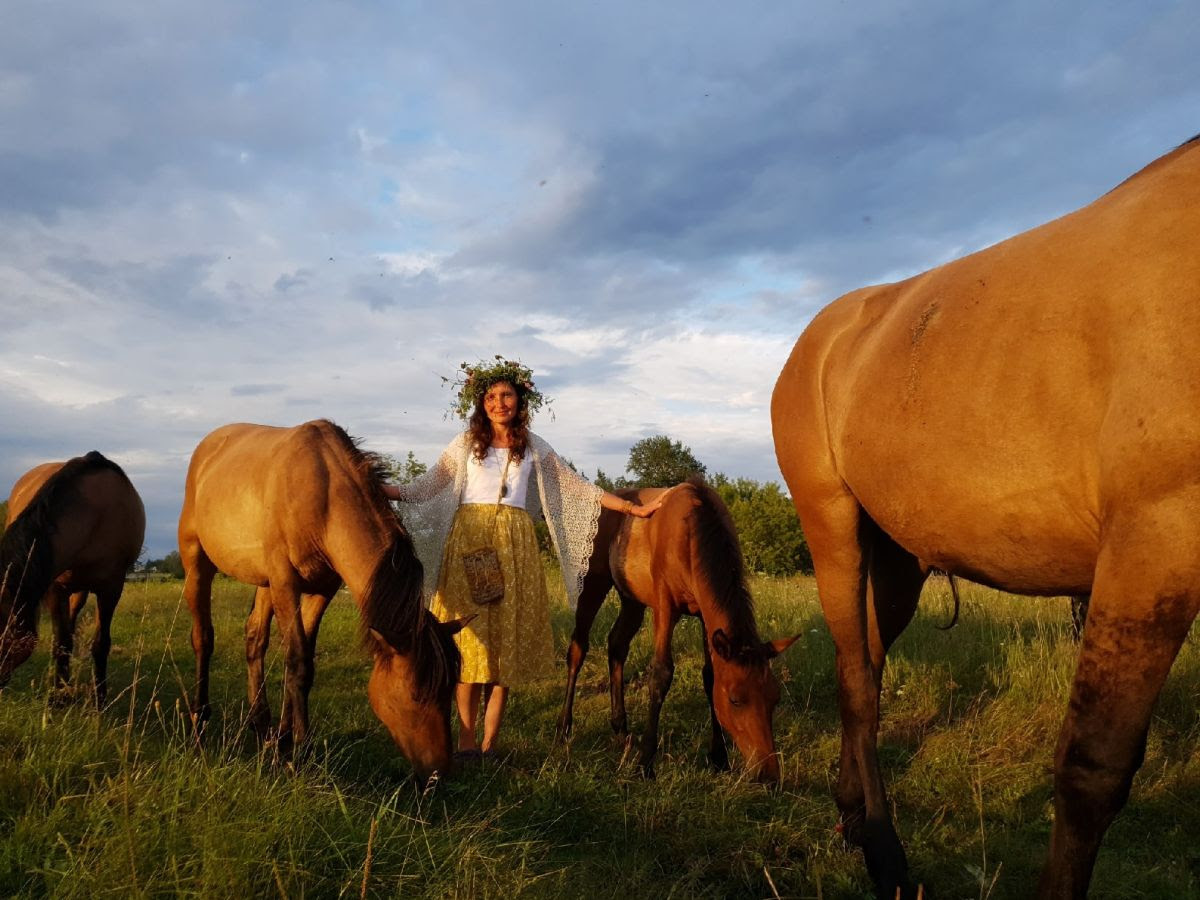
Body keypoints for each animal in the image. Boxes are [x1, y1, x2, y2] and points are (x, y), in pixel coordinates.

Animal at [0, 453, 144, 710]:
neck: (96, 518)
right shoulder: (56, 589)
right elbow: (62, 643)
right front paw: (59, 696)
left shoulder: (111, 589)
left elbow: (100, 644)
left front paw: (100, 699)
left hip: (82, 590)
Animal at [177, 422, 463, 782]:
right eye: (415, 694)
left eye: (450, 689)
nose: (440, 774)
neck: (324, 495)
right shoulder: (286, 582)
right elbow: (298, 660)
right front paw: (302, 754)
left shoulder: (321, 589)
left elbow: (300, 662)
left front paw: (284, 743)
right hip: (197, 562)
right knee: (203, 637)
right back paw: (199, 724)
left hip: (264, 582)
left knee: (255, 638)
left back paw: (262, 729)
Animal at [556, 480, 801, 782]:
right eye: (735, 700)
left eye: (775, 697)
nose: (768, 774)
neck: (692, 532)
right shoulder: (665, 607)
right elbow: (661, 673)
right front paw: (646, 762)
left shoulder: (706, 617)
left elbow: (710, 676)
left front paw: (719, 757)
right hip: (593, 585)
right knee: (578, 650)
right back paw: (564, 728)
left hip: (632, 600)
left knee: (617, 645)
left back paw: (621, 730)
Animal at [768, 135, 1200, 900]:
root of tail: (821, 338)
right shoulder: (1156, 541)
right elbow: (1092, 769)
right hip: (833, 529)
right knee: (858, 684)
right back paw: (885, 853)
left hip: (897, 560)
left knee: (867, 663)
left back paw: (854, 815)